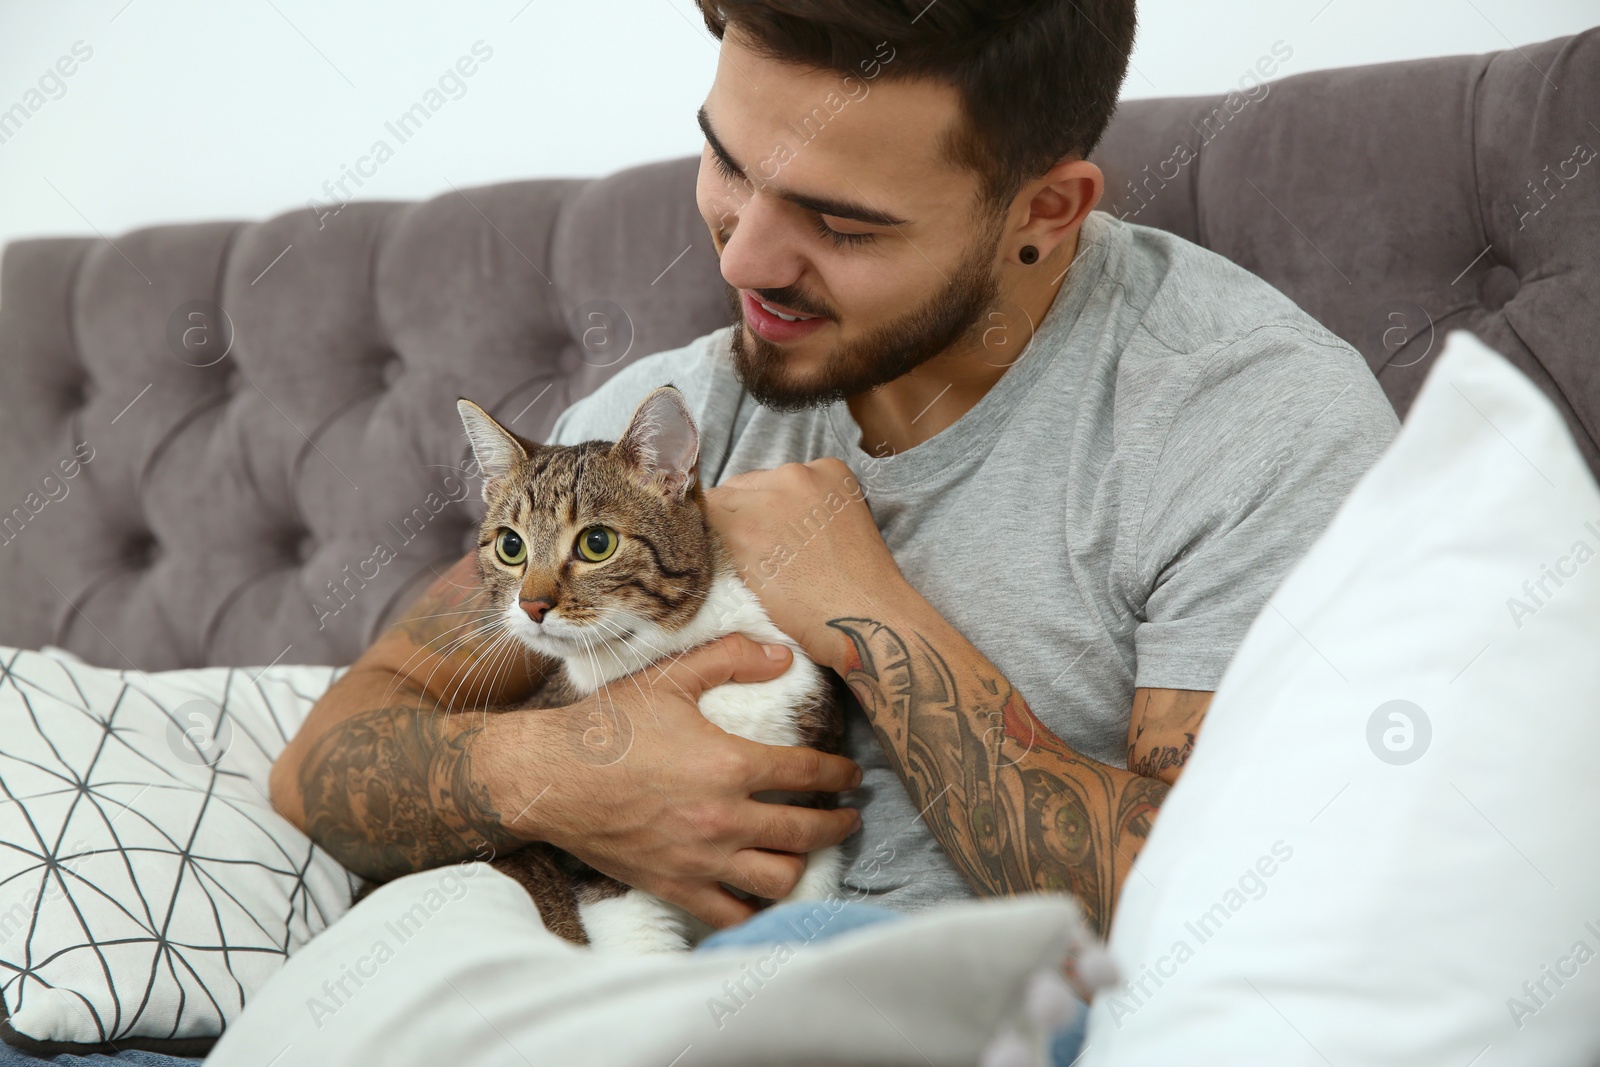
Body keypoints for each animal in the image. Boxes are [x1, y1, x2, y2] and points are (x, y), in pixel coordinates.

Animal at [454, 388, 851, 953]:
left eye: (597, 542)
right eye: (511, 546)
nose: (531, 604)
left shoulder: (813, 801)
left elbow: (806, 903)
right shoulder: (611, 859)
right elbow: (643, 949)